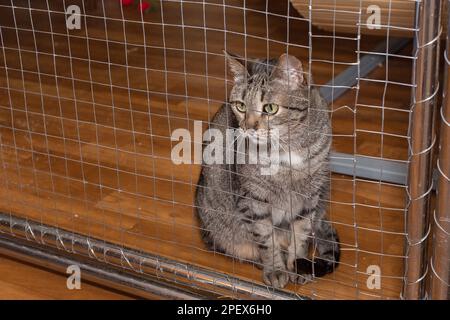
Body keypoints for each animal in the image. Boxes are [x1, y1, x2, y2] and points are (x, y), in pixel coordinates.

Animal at [195, 52, 340, 288]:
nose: (248, 127)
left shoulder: (310, 198)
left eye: (270, 108)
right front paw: (276, 269)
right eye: (240, 106)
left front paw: (297, 263)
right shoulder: (254, 200)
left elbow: (301, 233)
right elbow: (266, 239)